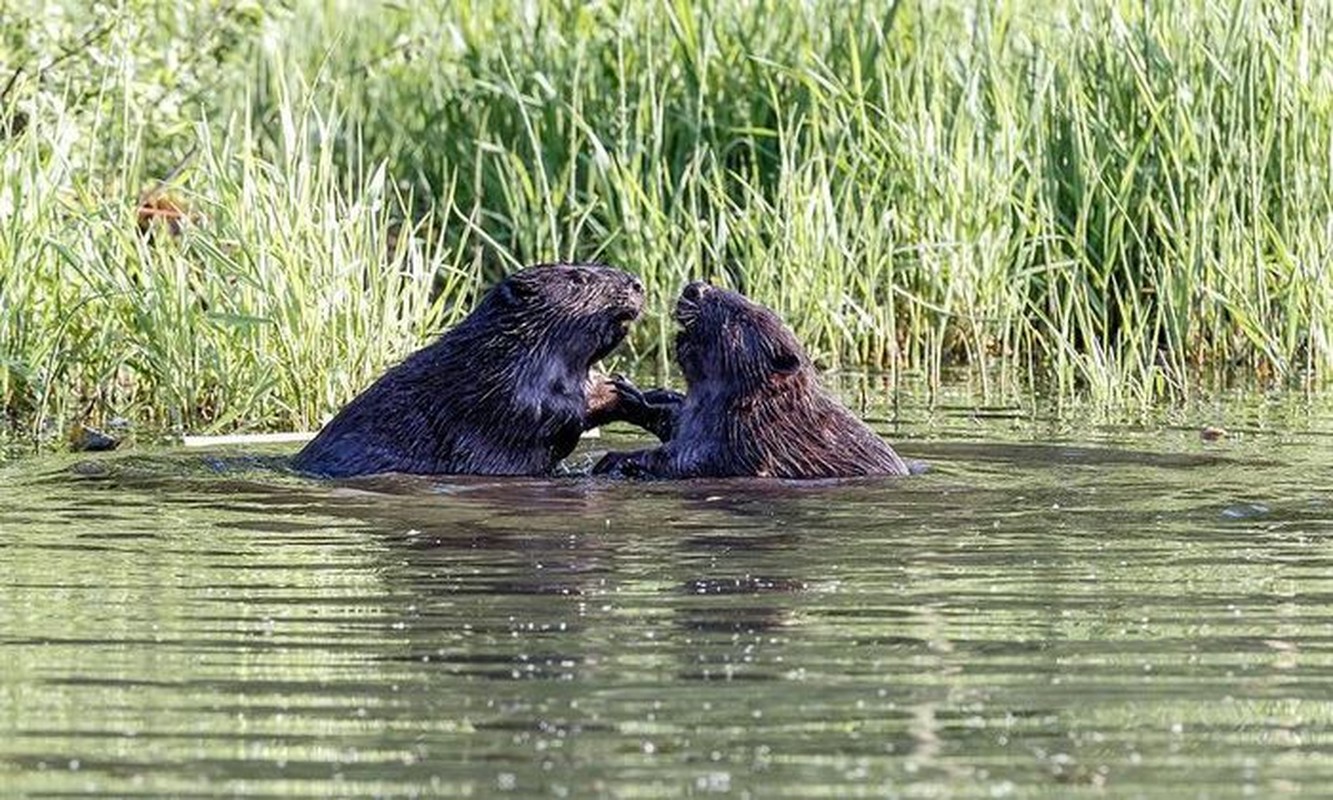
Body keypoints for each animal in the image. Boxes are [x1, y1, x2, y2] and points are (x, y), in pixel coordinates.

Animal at [293, 262, 645, 477]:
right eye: (578, 279)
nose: (638, 284)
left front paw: (625, 388)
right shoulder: (492, 390)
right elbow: (540, 410)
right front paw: (611, 392)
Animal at [591, 281, 906, 477]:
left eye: (741, 317)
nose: (694, 288)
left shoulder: (752, 439)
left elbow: (692, 460)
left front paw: (613, 459)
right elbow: (674, 421)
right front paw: (630, 393)